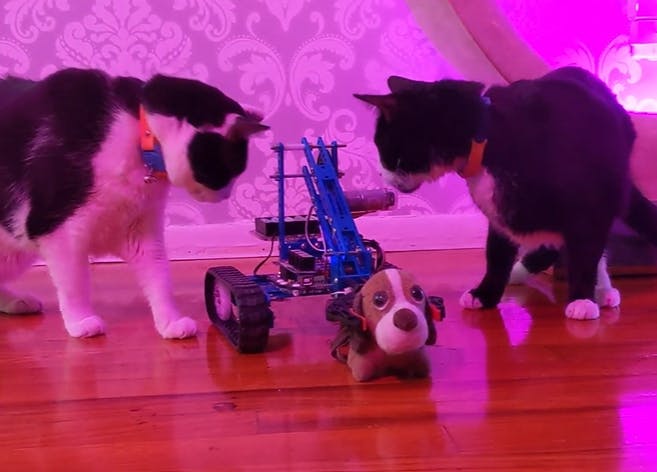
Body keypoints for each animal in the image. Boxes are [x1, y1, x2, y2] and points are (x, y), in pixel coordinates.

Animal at [0, 67, 268, 338]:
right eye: (229, 170)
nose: (226, 195)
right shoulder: (59, 232)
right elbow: (74, 282)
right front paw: (81, 322)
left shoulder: (142, 230)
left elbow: (160, 277)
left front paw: (170, 322)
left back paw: (17, 302)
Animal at [355, 66, 657, 320]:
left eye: (384, 148)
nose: (382, 176)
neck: (488, 135)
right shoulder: (498, 210)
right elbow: (496, 253)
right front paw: (485, 294)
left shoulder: (590, 204)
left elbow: (586, 252)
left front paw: (582, 299)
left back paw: (600, 291)